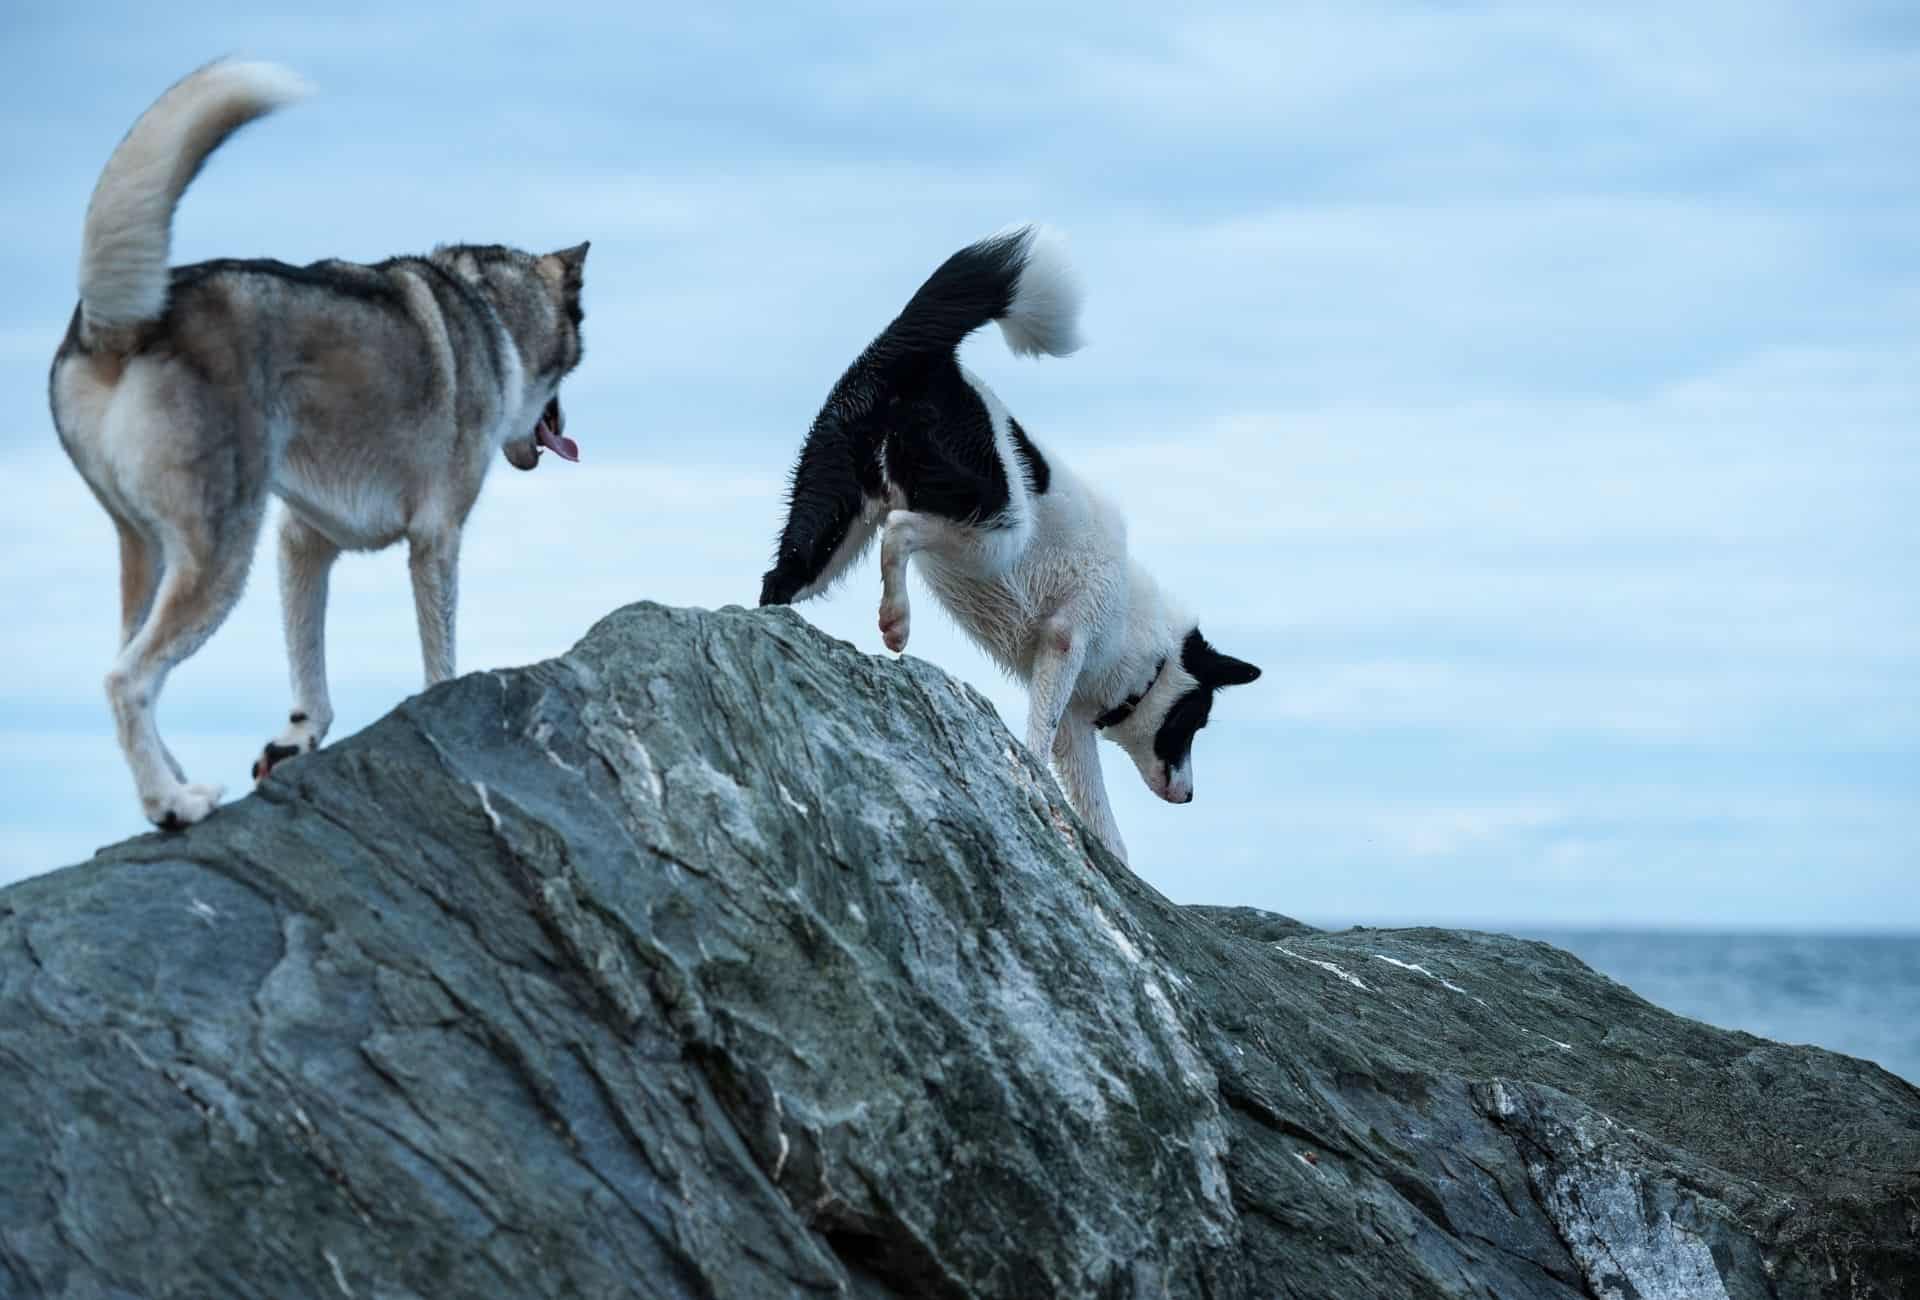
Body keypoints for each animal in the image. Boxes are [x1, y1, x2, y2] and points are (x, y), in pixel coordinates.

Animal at [54, 60, 591, 825]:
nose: (567, 429)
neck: (490, 312)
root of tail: (126, 321)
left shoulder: (303, 540)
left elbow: (311, 679)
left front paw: (292, 744)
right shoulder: (436, 538)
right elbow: (440, 663)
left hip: (148, 552)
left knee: (133, 671)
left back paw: (174, 780)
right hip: (220, 558)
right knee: (125, 679)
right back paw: (172, 804)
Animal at [756, 228, 1267, 860]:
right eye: (1196, 720)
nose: (1190, 796)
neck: (1143, 642)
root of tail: (915, 350)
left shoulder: (1074, 719)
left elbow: (1102, 823)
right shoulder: (1065, 642)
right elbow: (1038, 742)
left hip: (829, 519)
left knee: (780, 579)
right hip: (996, 524)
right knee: (901, 528)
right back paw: (895, 621)